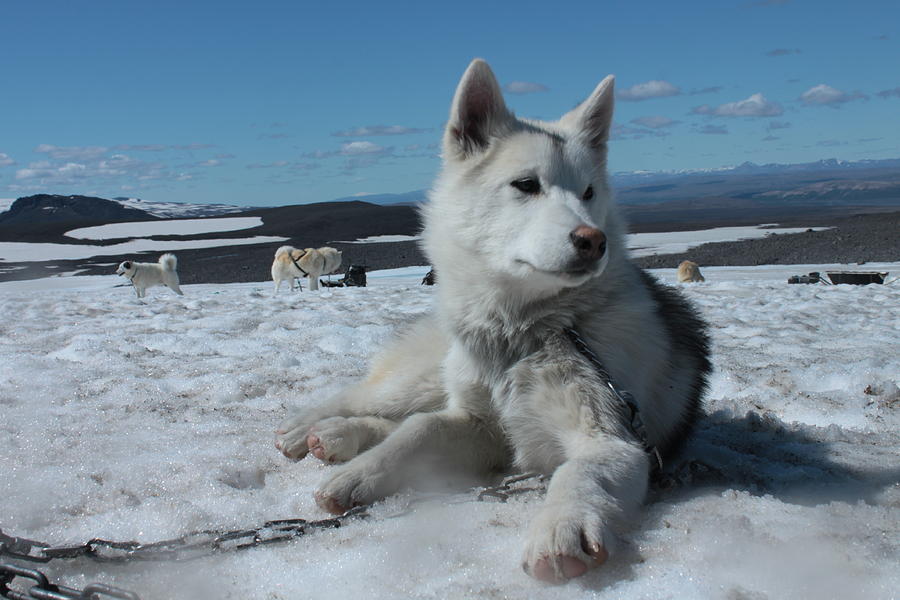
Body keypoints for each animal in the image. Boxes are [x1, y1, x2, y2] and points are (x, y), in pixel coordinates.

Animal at [274, 58, 712, 584]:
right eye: (526, 185)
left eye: (588, 192)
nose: (594, 240)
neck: (523, 333)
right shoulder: (476, 420)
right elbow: (419, 432)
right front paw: (359, 474)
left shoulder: (611, 439)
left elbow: (577, 472)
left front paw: (562, 527)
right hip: (420, 378)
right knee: (372, 401)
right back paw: (307, 429)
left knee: (397, 416)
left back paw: (335, 437)